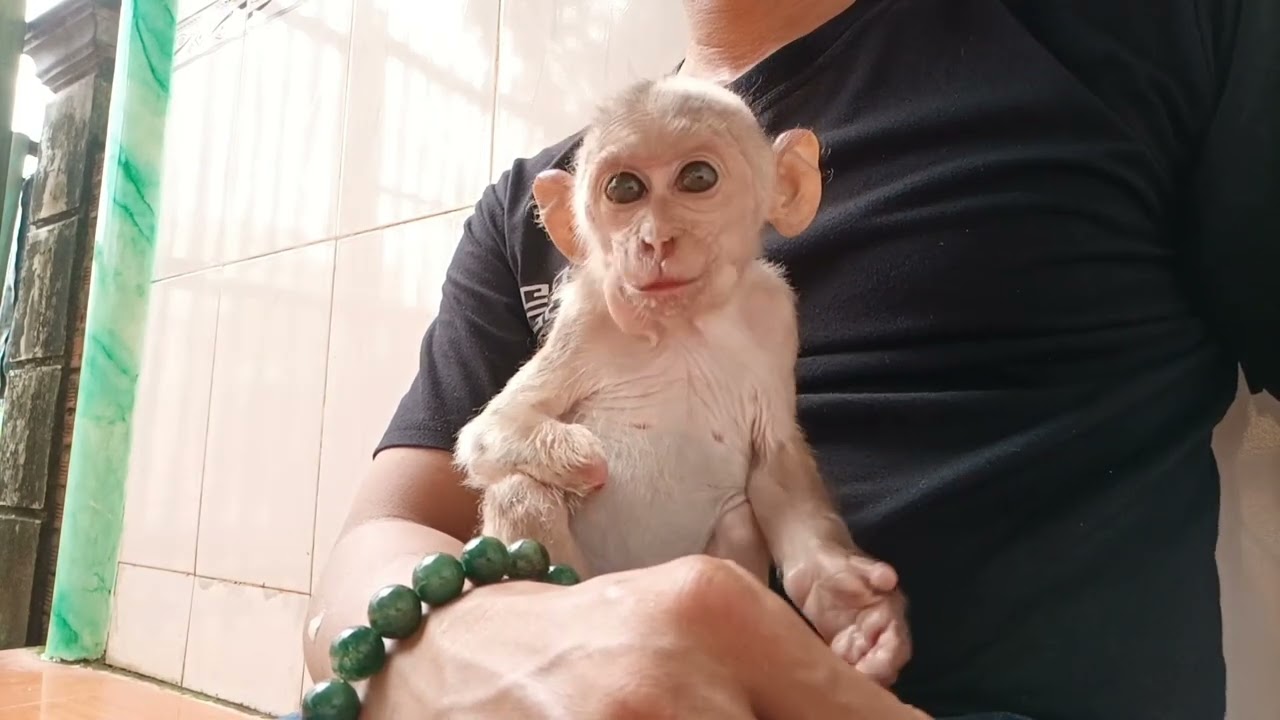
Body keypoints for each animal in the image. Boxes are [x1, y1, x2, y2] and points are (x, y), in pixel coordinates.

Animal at [453, 75, 911, 685]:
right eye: (624, 189)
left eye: (697, 179)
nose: (655, 240)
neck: (681, 326)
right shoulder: (589, 315)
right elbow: (495, 430)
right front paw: (579, 459)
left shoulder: (773, 316)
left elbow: (774, 463)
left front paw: (847, 601)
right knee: (520, 488)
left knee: (740, 517)